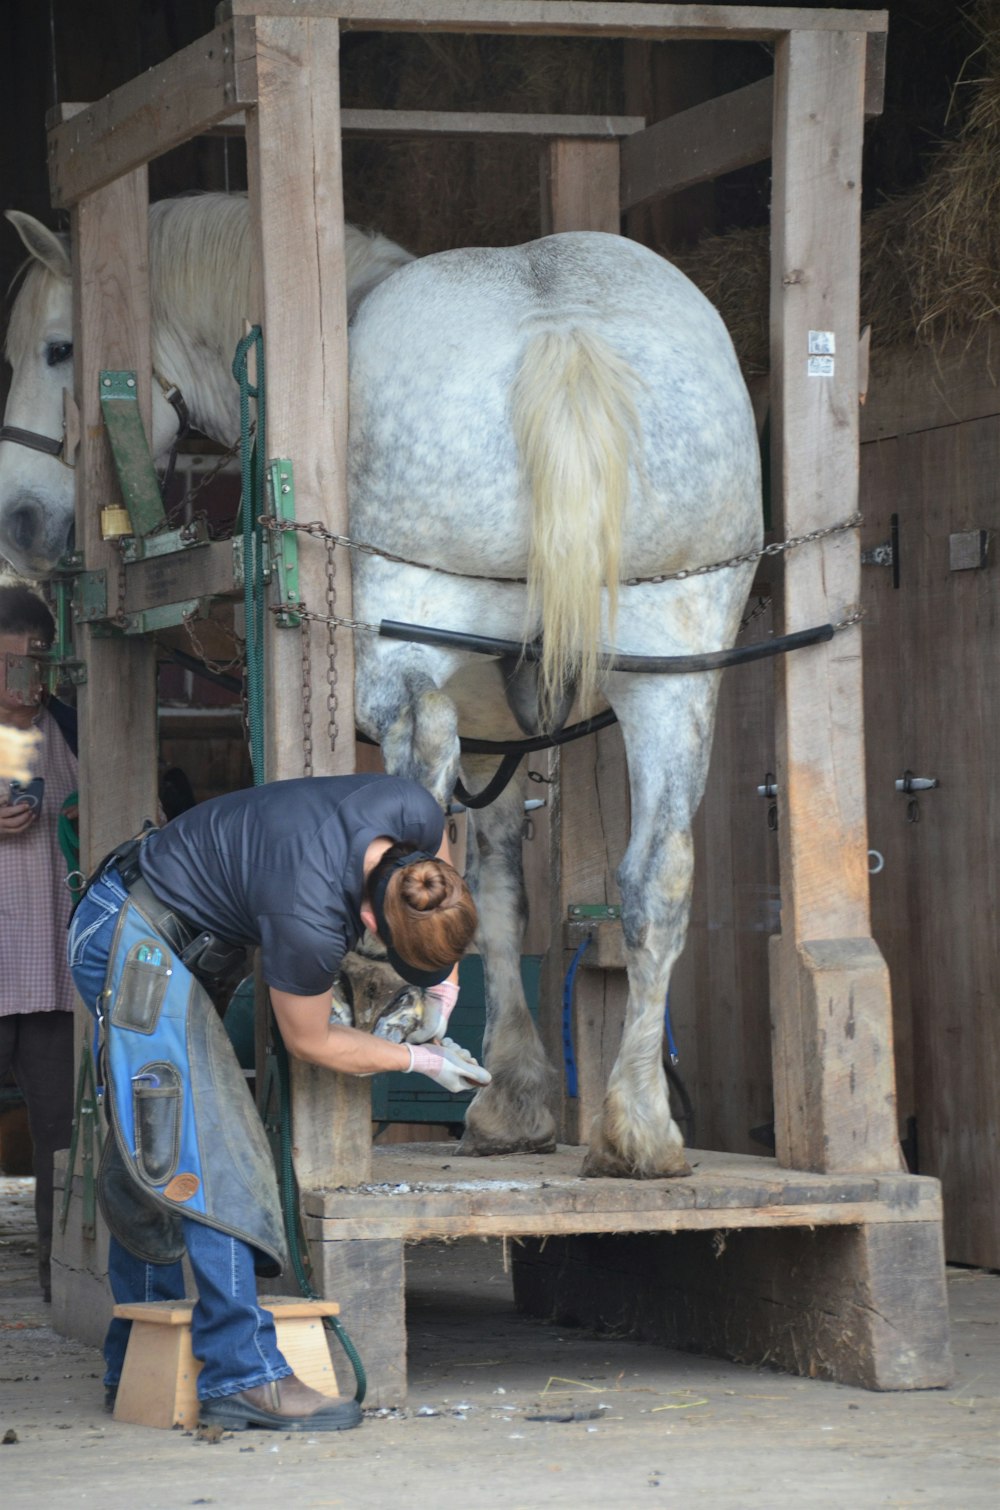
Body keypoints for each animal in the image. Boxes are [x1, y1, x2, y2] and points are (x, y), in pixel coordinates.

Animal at [0, 191, 761, 1177]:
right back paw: (641, 1128)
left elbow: (482, 876)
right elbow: (506, 889)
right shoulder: (504, 732)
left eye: (58, 349)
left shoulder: (467, 711)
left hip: (408, 635)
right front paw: (521, 1097)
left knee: (422, 758)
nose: (18, 520)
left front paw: (500, 1095)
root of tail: (563, 330)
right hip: (676, 672)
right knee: (656, 879)